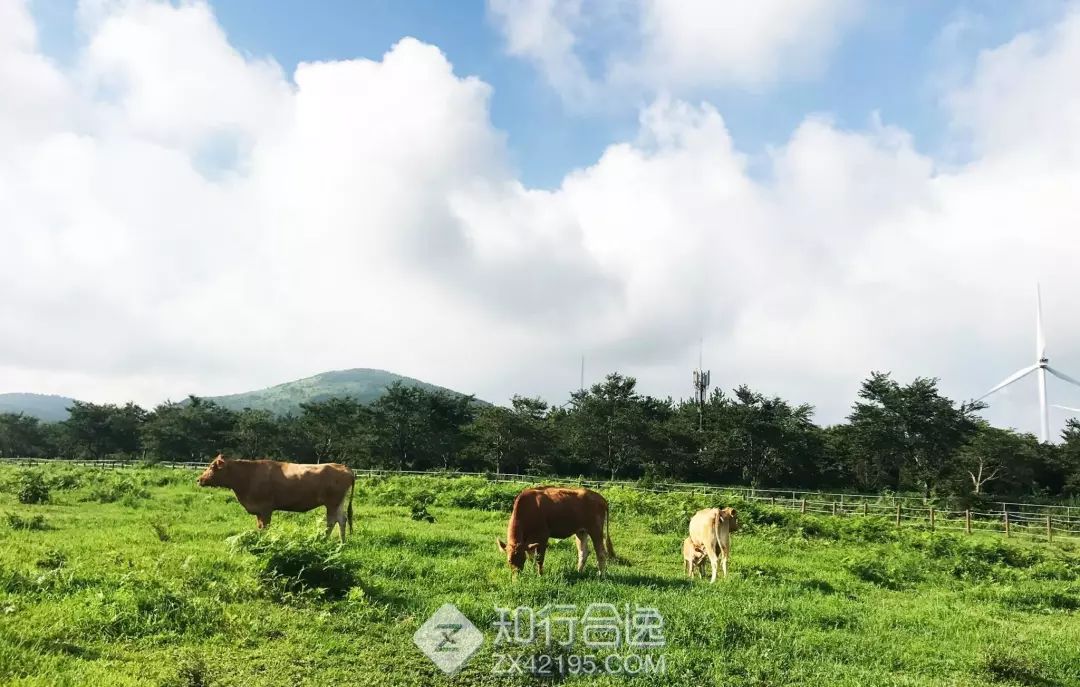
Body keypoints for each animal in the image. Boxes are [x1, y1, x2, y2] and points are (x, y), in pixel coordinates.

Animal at [196, 453, 356, 544]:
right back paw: (342, 543)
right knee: (342, 520)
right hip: (338, 503)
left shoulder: (265, 508)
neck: (248, 476)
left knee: (332, 521)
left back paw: (324, 540)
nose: (199, 480)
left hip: (332, 503)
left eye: (212, 466)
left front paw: (264, 541)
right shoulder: (259, 510)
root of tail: (344, 467)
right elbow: (259, 526)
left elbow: (265, 527)